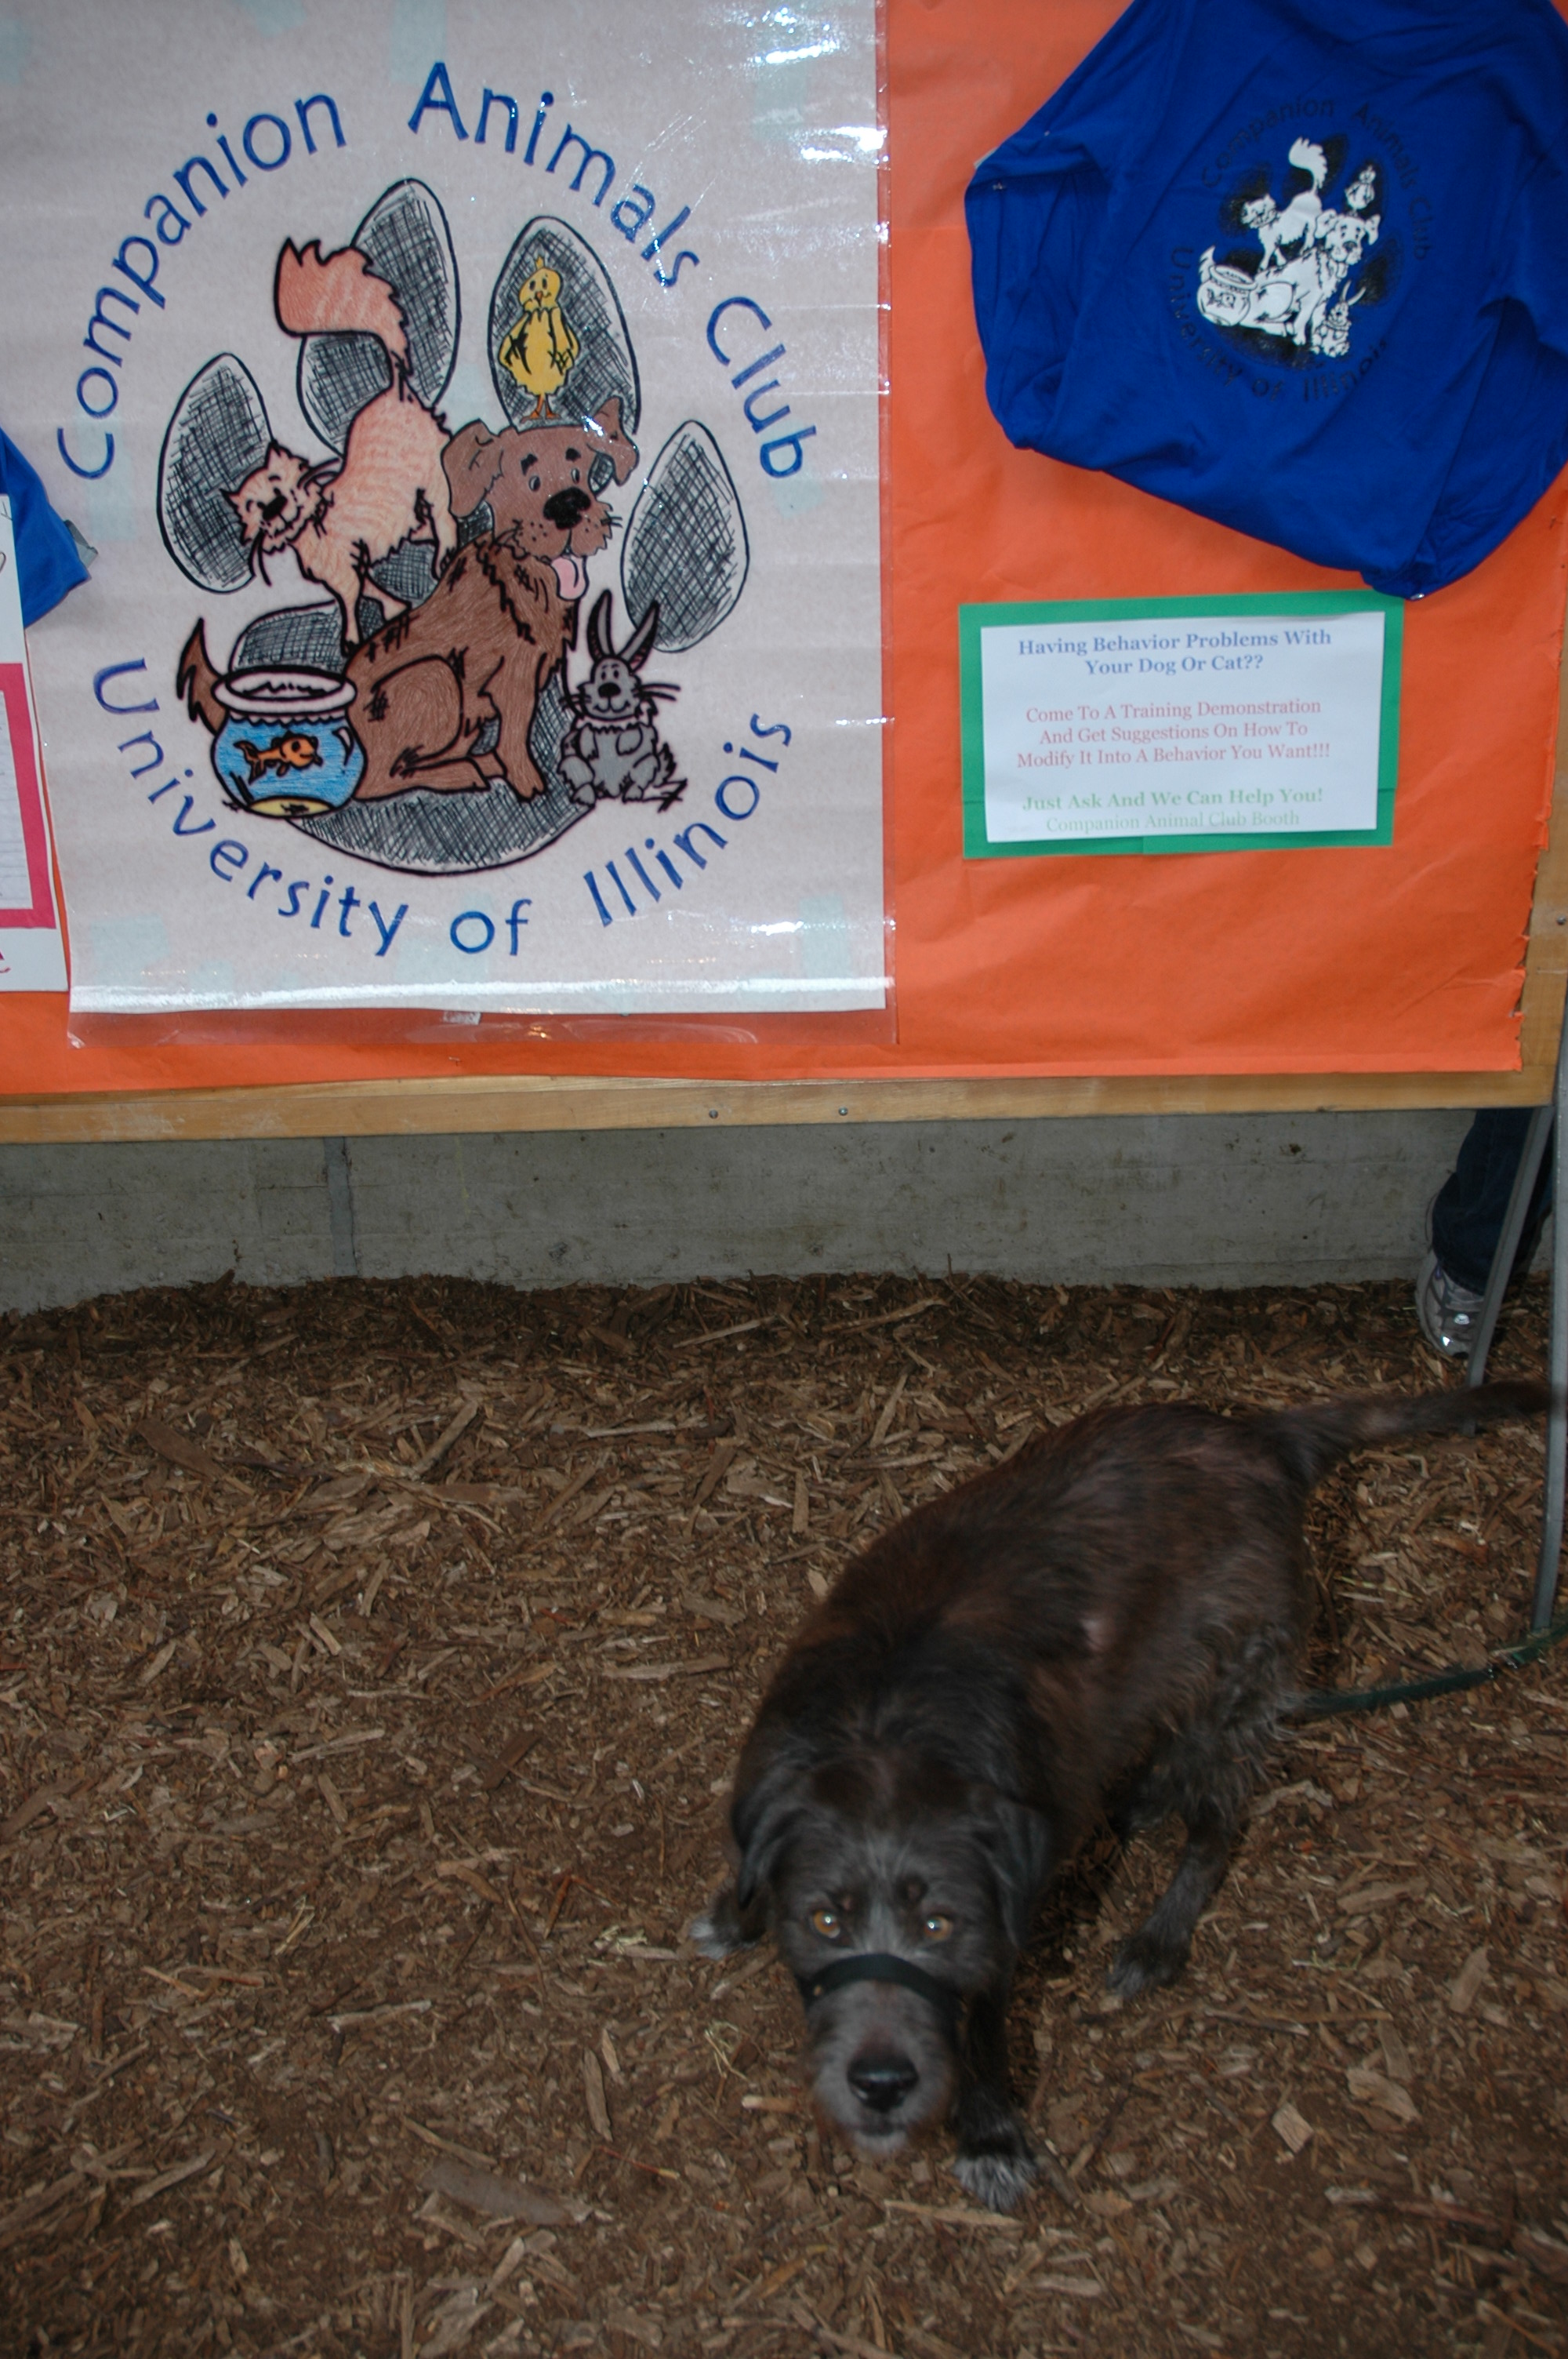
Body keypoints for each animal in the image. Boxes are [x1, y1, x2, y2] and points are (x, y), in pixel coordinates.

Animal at [227, 241, 458, 651]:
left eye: (277, 484)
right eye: (254, 506)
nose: (274, 506)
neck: (312, 530)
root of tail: (395, 391)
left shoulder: (344, 564)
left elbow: (351, 598)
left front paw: (351, 638)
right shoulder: (345, 566)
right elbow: (367, 589)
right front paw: (394, 610)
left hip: (430, 475)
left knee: (444, 515)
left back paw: (444, 553)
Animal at [693, 1378, 1547, 2210]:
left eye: (940, 1924)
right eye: (824, 1920)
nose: (880, 2085)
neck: (886, 1724)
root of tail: (1262, 1437)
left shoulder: (997, 1942)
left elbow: (984, 2039)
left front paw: (990, 2138)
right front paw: (736, 1915)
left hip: (1230, 1692)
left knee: (1215, 1827)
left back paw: (1158, 1938)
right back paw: (1139, 1798)